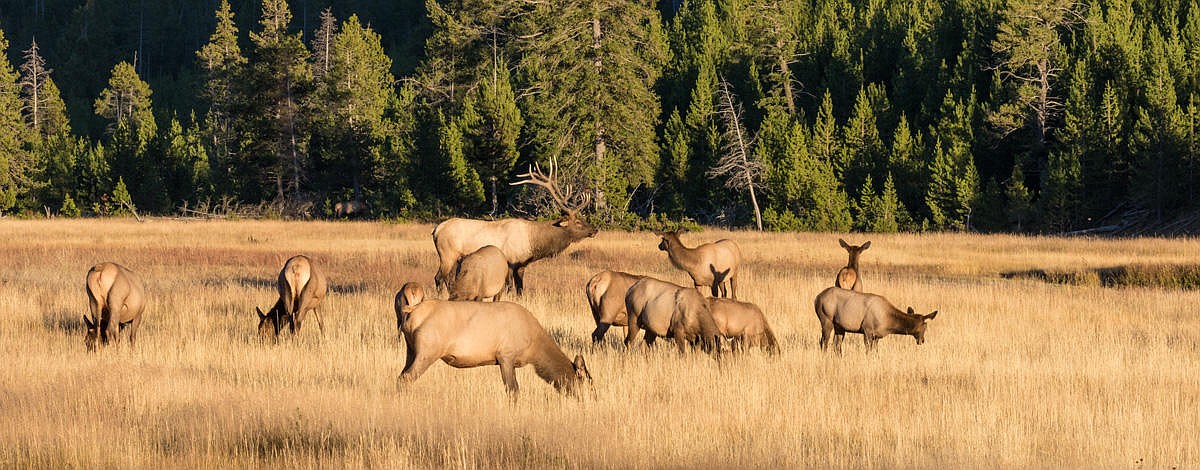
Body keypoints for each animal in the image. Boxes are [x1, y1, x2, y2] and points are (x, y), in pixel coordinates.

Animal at [394, 282, 593, 397]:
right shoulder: (506, 355)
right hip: (429, 350)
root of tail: (412, 312)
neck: (534, 346)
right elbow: (513, 390)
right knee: (407, 377)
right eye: (589, 384)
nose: (594, 398)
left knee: (400, 376)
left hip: (411, 349)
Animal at [432, 160, 597, 296]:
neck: (533, 242)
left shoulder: (522, 265)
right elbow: (509, 287)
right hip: (447, 254)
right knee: (439, 277)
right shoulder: (511, 261)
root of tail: (436, 230)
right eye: (578, 222)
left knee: (447, 278)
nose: (595, 230)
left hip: (455, 258)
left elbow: (520, 289)